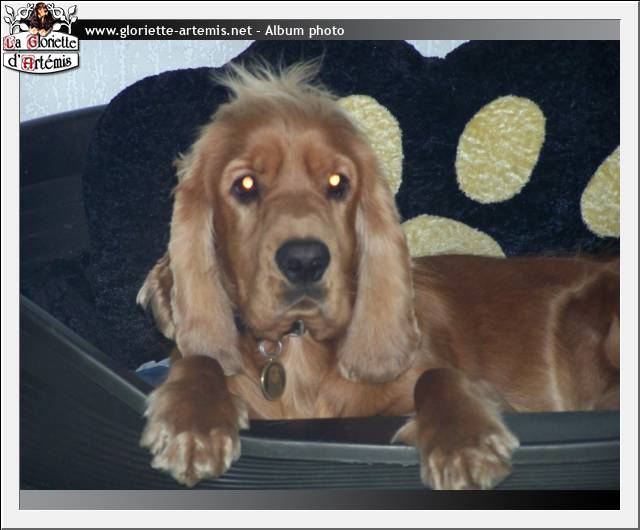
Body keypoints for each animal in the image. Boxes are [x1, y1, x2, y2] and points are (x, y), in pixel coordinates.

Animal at [137, 61, 620, 489]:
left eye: (337, 182)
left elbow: (436, 375)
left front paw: (464, 442)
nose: (305, 261)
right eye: (246, 185)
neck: (296, 348)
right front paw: (192, 425)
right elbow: (198, 358)